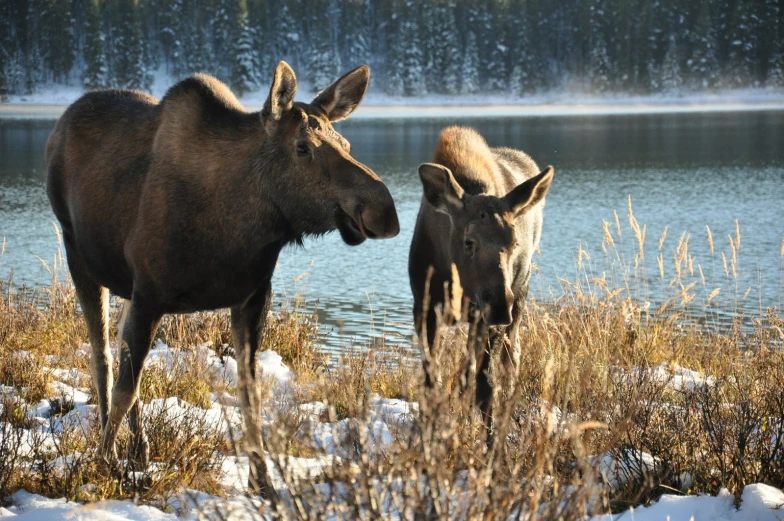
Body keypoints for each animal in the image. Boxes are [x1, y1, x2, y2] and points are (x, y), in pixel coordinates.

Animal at [44, 61, 398, 496]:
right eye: (303, 147)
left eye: (345, 144)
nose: (384, 210)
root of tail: (61, 123)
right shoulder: (149, 294)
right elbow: (126, 386)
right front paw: (102, 465)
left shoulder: (251, 297)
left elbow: (250, 394)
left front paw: (262, 481)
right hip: (79, 256)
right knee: (103, 357)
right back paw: (114, 449)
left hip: (123, 284)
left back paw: (140, 449)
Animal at [410, 125, 552, 442]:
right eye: (469, 242)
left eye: (513, 243)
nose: (499, 305)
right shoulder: (425, 308)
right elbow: (430, 379)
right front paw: (427, 435)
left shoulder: (487, 319)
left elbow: (485, 385)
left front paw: (490, 444)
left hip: (517, 300)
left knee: (510, 357)